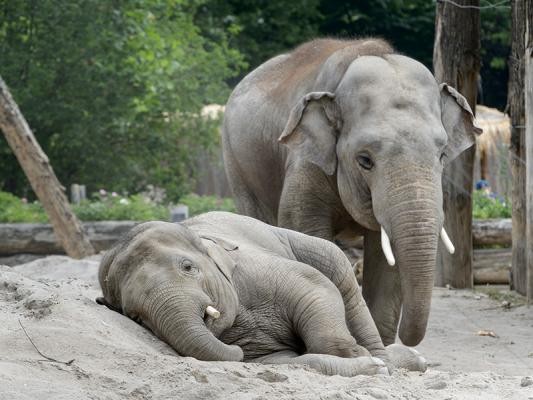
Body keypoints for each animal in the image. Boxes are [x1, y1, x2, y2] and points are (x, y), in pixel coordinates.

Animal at [96, 211, 424, 376]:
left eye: (188, 267)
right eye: (136, 317)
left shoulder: (253, 267)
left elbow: (314, 284)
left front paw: (364, 357)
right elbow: (284, 361)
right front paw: (368, 366)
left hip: (310, 246)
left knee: (342, 282)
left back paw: (391, 361)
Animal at [222, 39, 480, 346]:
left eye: (441, 155)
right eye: (365, 160)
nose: (407, 338)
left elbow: (385, 257)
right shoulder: (305, 162)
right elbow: (307, 234)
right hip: (238, 167)